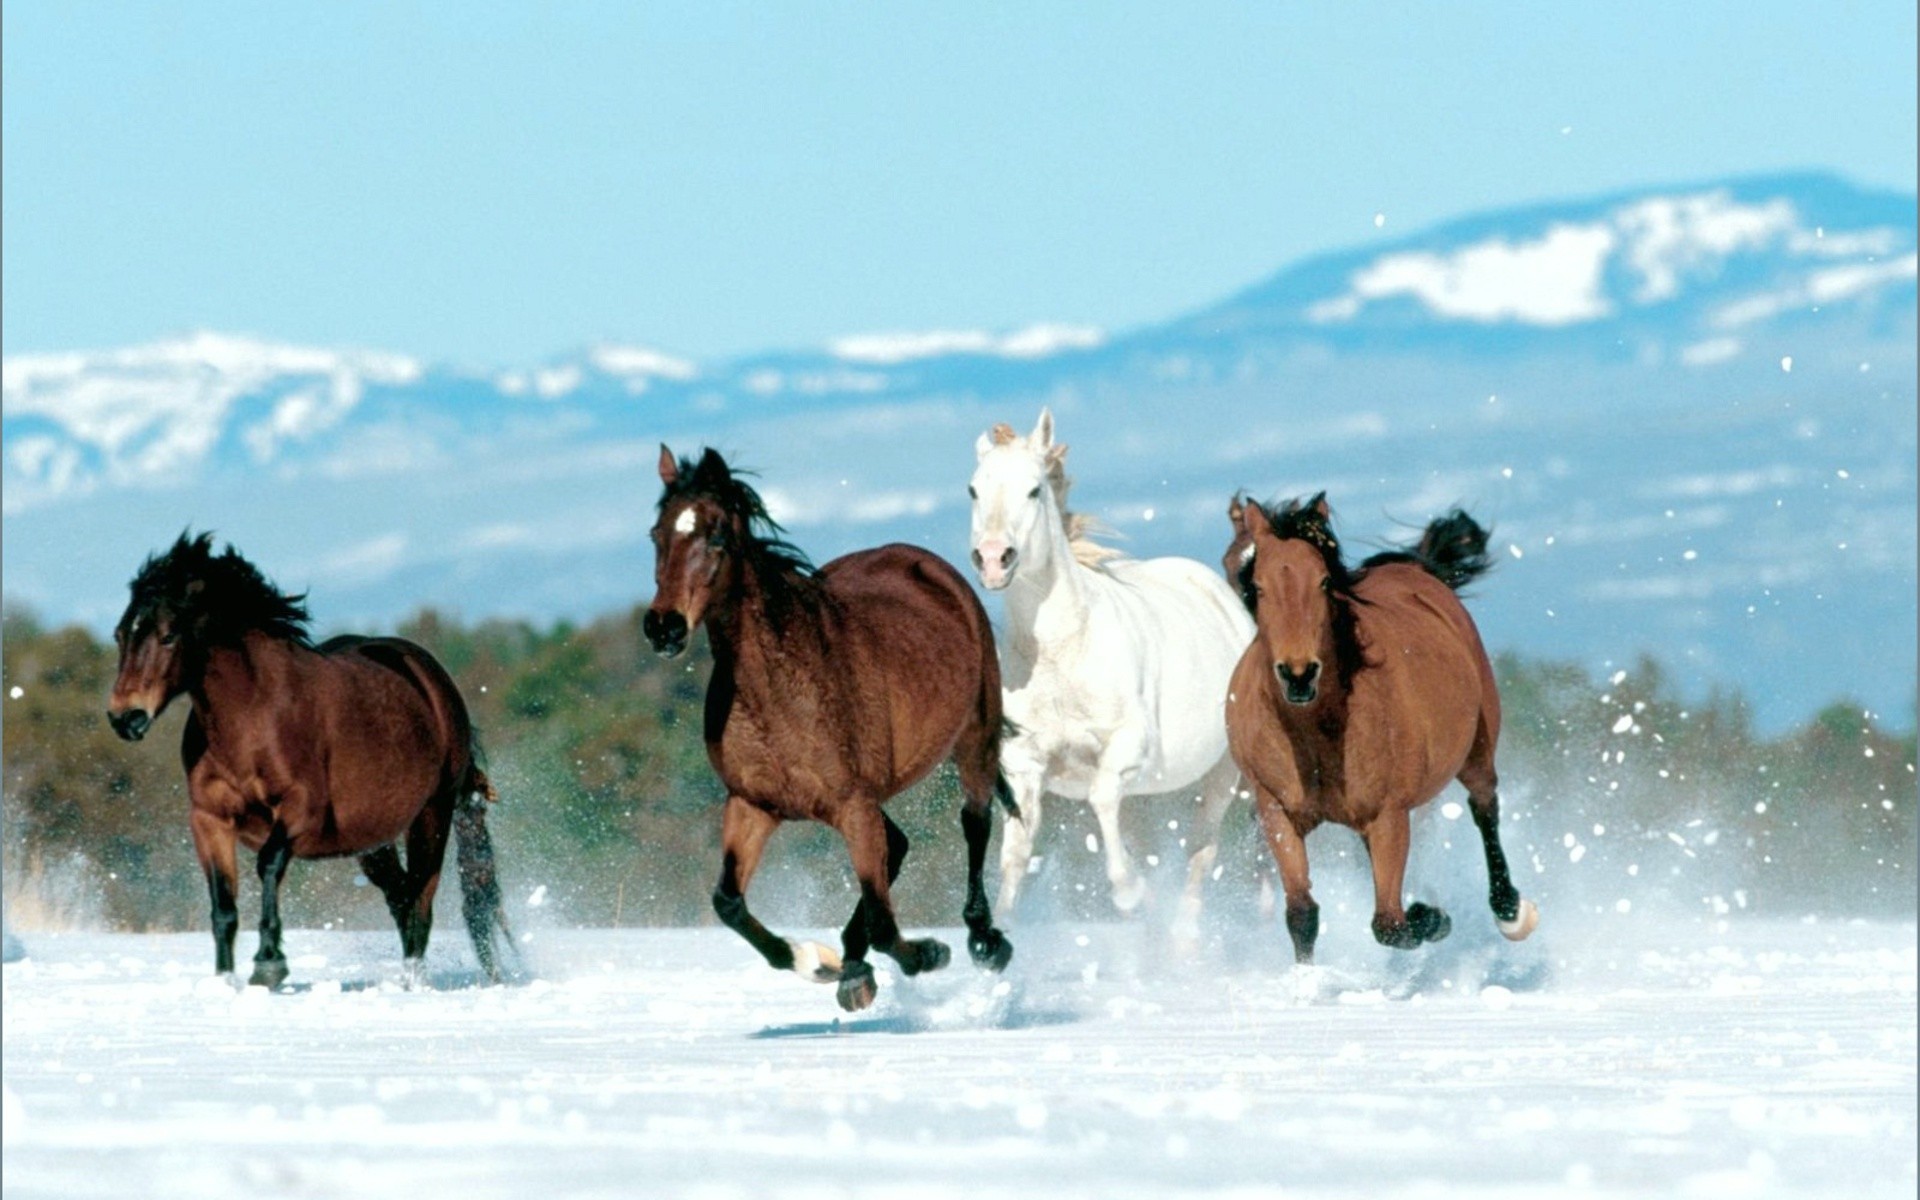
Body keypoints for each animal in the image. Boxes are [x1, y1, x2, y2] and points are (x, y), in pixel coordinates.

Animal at [104, 529, 510, 983]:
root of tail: (434, 681)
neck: (250, 716)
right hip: (373, 841)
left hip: (431, 815)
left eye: (168, 635)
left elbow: (268, 863)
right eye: (120, 635)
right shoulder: (209, 818)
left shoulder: (302, 811)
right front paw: (227, 980)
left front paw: (269, 962)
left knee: (420, 901)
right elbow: (223, 905)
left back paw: (412, 982)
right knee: (402, 898)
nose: (126, 717)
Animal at [641, 445, 1013, 1006]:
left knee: (975, 821)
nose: (663, 628)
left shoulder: (853, 805)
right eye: (656, 534)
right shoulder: (753, 804)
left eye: (717, 536)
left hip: (976, 738)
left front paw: (929, 953)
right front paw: (818, 962)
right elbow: (728, 903)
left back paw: (984, 941)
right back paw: (854, 967)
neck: (778, 693)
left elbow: (884, 921)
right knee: (899, 847)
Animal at [960, 407, 1259, 933]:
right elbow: (1015, 856)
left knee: (1200, 855)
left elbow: (1101, 798)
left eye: (1034, 490)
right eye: (974, 490)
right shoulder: (1024, 766)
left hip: (1222, 775)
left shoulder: (1127, 747)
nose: (993, 559)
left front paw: (1129, 892)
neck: (1063, 654)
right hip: (1146, 795)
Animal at [1221, 491, 1536, 960]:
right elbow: (1302, 915)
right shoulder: (1277, 812)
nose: (1299, 674)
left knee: (1485, 808)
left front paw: (1432, 917)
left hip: (1477, 749)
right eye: (1258, 586)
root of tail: (1416, 570)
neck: (1316, 733)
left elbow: (1389, 922)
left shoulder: (1389, 817)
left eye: (1323, 582)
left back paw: (1510, 911)